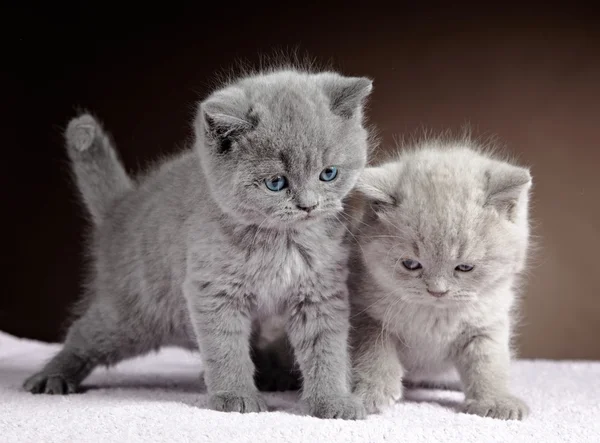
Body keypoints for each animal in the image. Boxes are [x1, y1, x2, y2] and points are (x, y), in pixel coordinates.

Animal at [25, 68, 372, 420]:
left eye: (328, 174)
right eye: (276, 183)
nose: (308, 205)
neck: (281, 242)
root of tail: (120, 207)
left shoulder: (319, 292)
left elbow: (326, 347)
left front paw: (333, 401)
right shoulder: (213, 290)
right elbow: (226, 347)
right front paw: (235, 396)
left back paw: (274, 375)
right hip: (133, 315)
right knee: (84, 334)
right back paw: (51, 377)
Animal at [350, 140, 532, 422]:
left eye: (465, 267)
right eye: (411, 264)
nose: (437, 290)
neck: (434, 317)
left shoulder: (487, 323)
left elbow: (489, 363)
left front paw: (496, 401)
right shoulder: (366, 314)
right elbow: (374, 353)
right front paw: (372, 392)